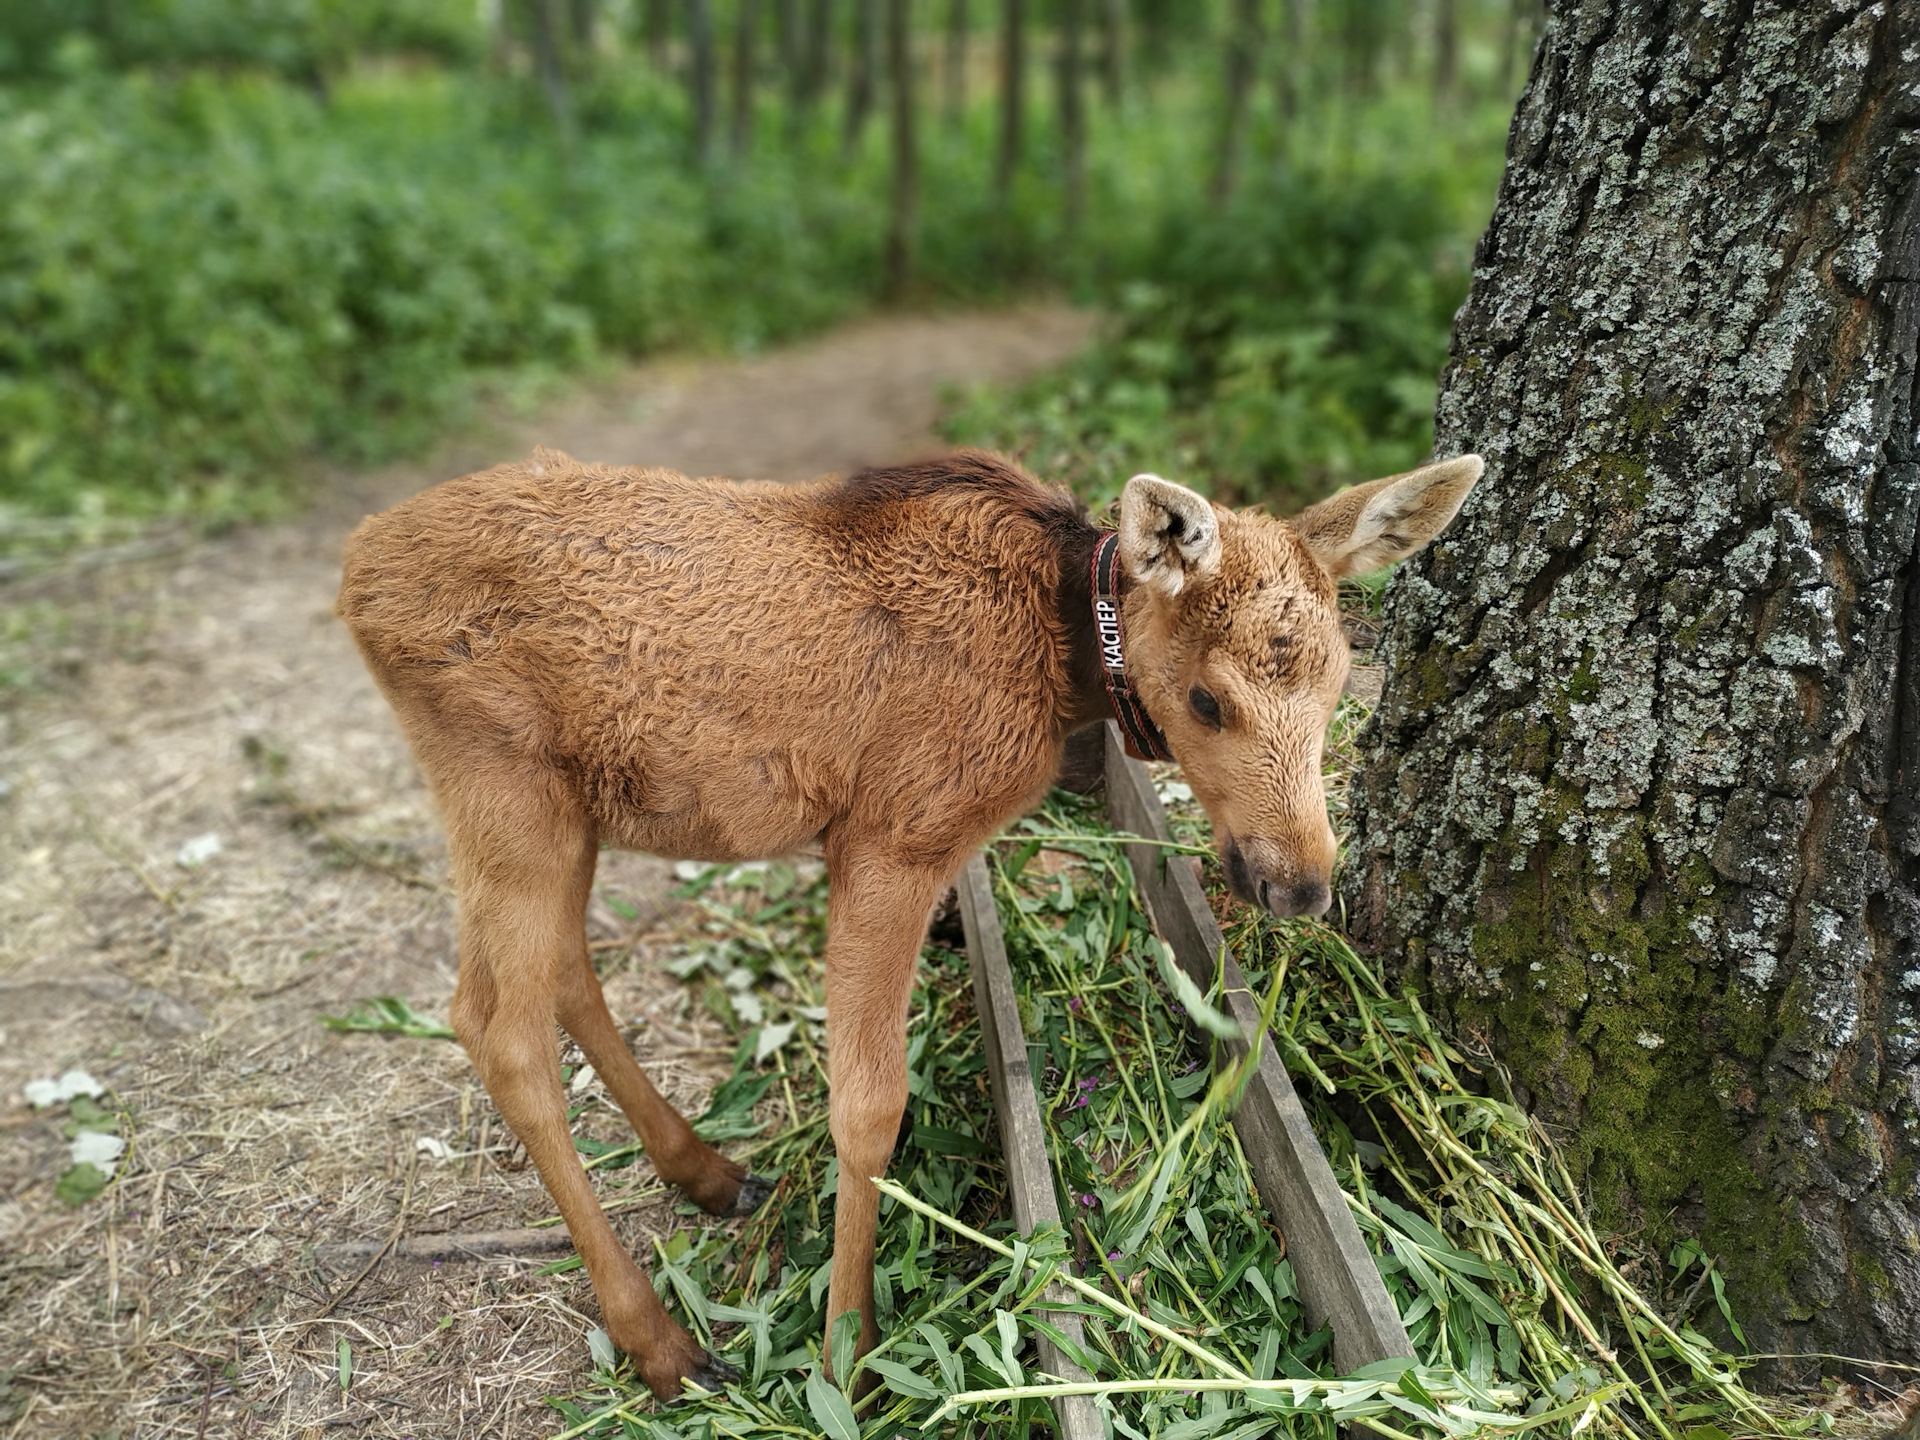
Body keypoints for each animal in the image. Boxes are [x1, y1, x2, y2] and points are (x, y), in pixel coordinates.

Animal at [337, 449, 1474, 1397]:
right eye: (1205, 699)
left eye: (1338, 679)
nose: (1302, 885)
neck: (1065, 663)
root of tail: (353, 575)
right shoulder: (892, 839)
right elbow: (870, 1104)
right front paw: (848, 1349)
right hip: (504, 789)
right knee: (493, 1025)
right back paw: (663, 1342)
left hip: (568, 812)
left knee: (563, 971)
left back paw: (707, 1172)